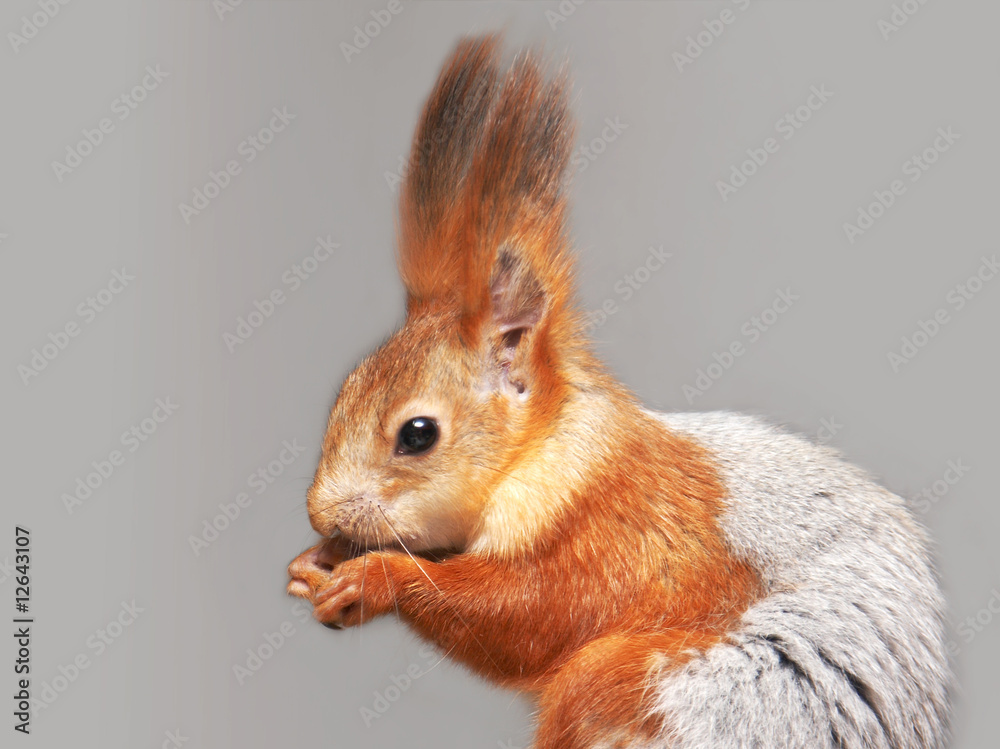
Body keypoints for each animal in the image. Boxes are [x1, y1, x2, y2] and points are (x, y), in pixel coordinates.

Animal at [288, 35, 952, 748]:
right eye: (346, 389)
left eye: (417, 434)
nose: (321, 514)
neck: (550, 451)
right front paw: (317, 562)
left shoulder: (615, 538)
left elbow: (523, 618)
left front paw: (376, 577)